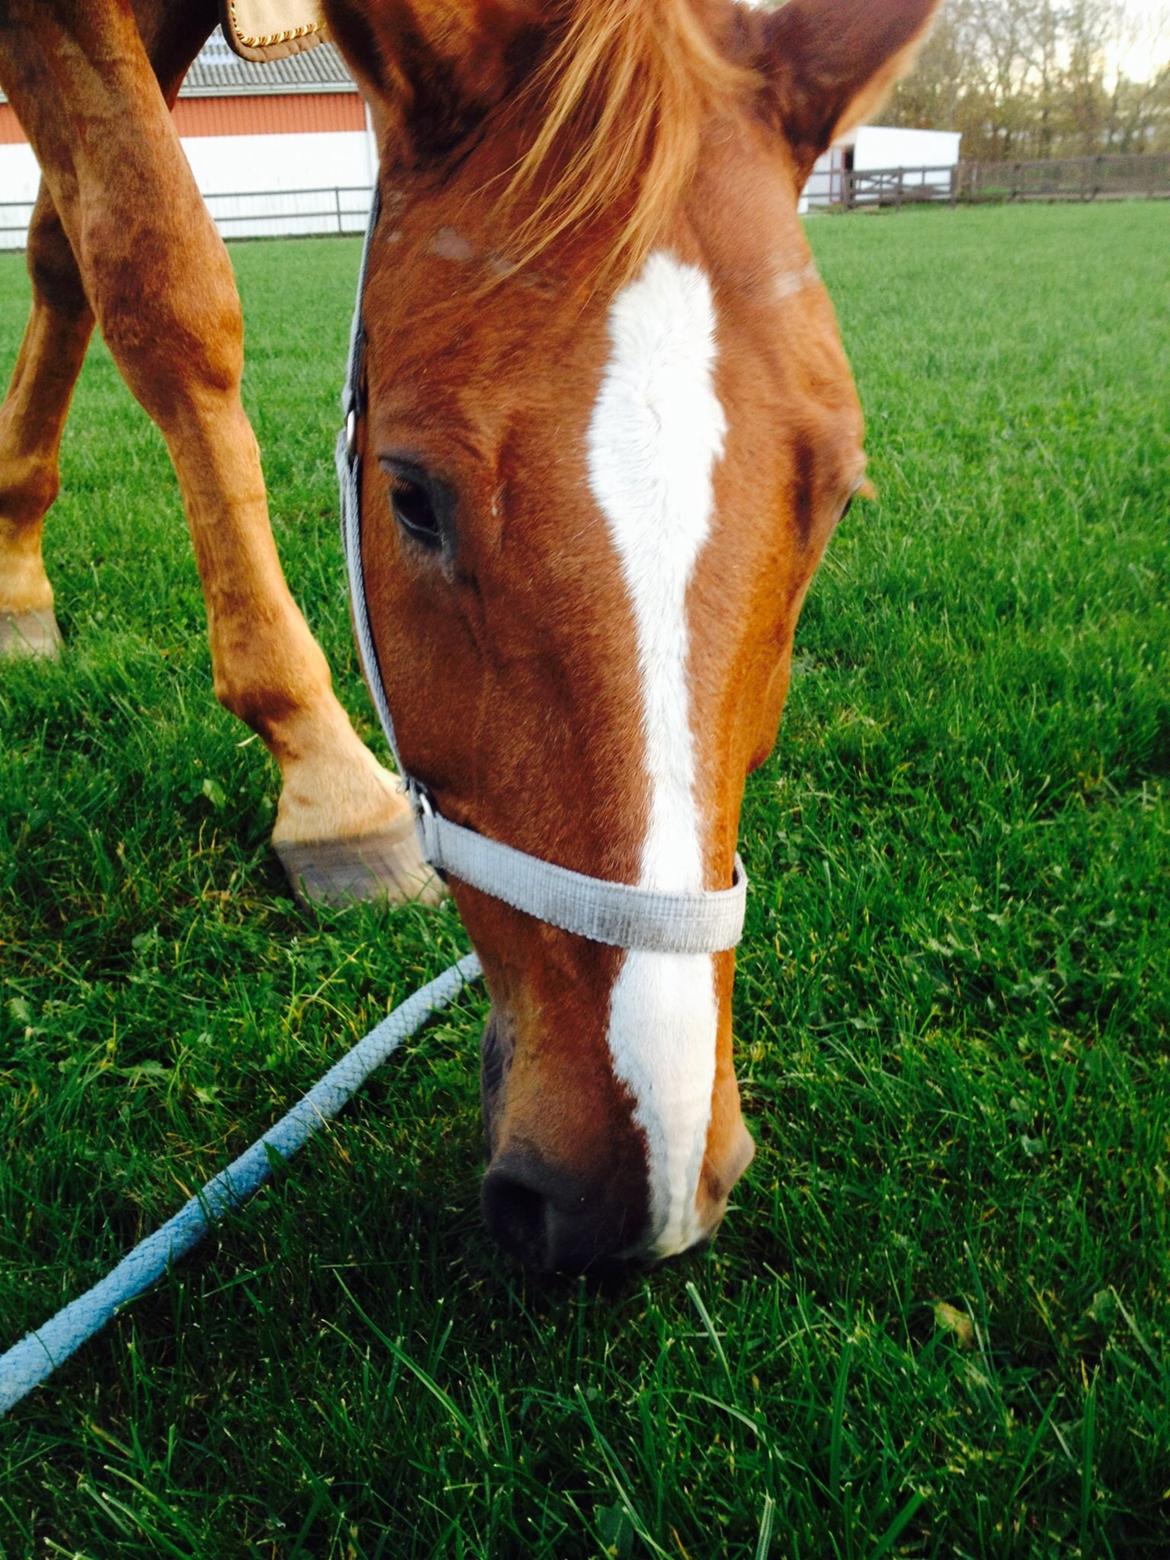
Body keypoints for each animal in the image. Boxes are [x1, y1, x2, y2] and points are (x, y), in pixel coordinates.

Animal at [0, 3, 942, 1266]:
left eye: (835, 500)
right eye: (410, 499)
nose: (636, 1190)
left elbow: (66, 248)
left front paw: (17, 571)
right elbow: (160, 281)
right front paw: (325, 780)